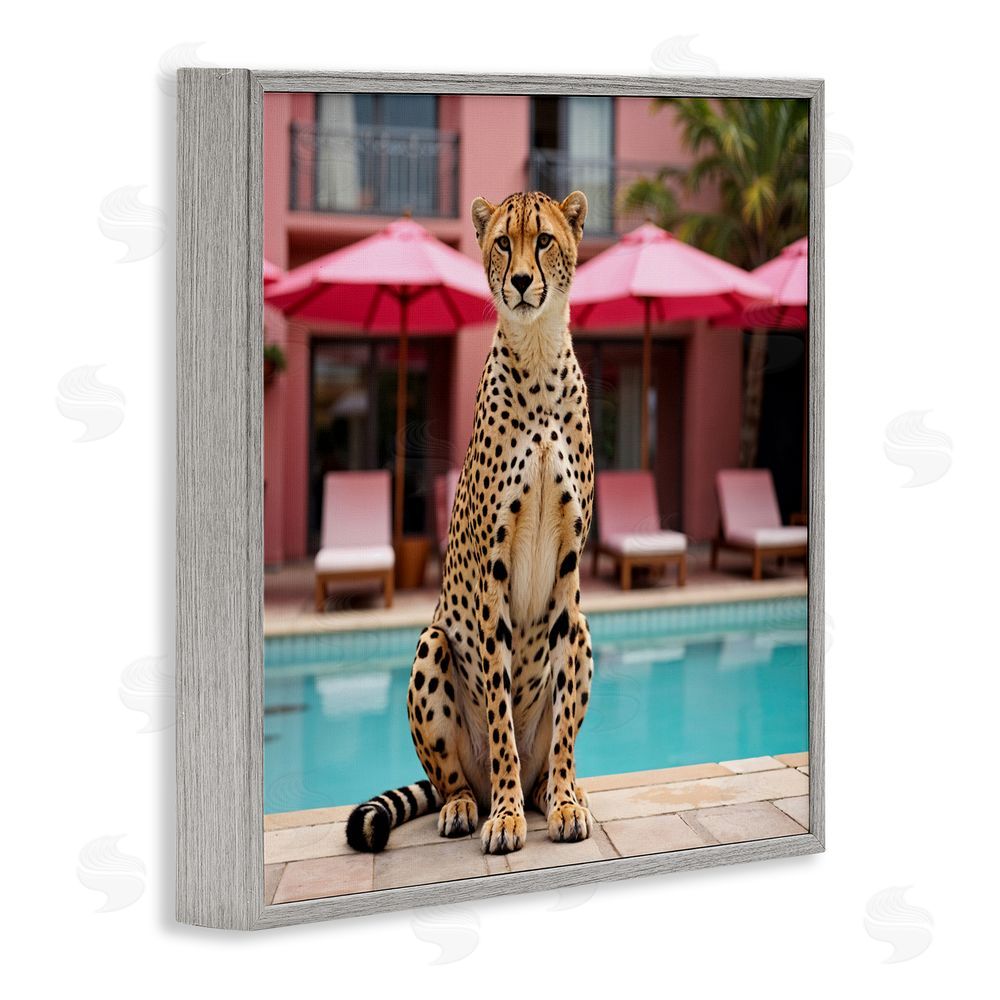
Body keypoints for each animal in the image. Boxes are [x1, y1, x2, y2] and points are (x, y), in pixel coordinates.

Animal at [347, 190, 595, 856]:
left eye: (544, 240)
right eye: (504, 243)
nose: (522, 282)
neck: (537, 356)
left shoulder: (570, 573)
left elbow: (562, 719)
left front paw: (564, 801)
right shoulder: (492, 569)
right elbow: (500, 715)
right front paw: (506, 817)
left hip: (585, 630)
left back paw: (553, 790)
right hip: (432, 643)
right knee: (453, 778)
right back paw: (470, 804)